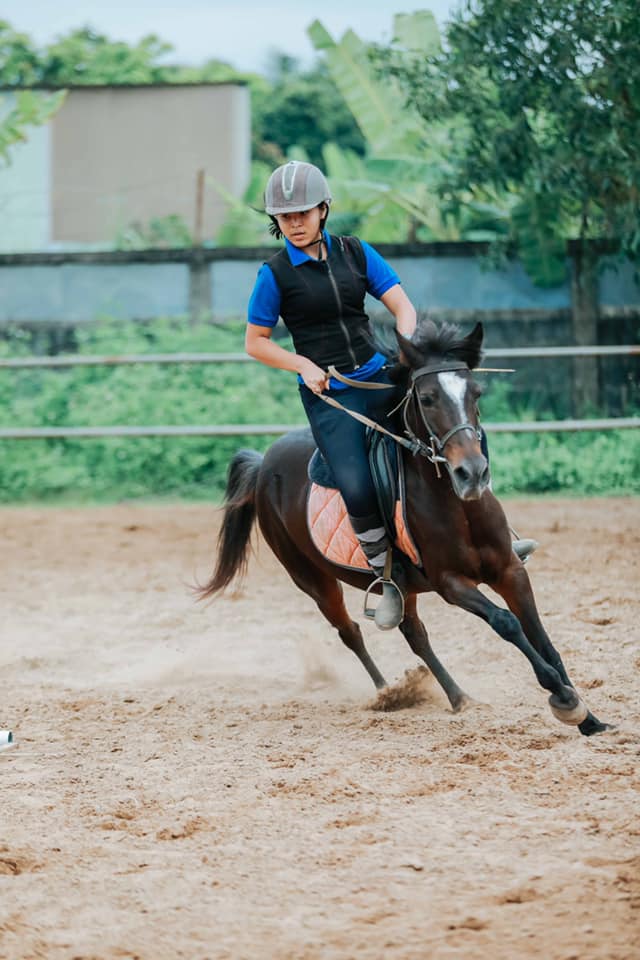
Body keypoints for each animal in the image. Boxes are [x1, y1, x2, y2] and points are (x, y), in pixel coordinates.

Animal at [197, 321, 610, 737]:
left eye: (476, 393)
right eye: (426, 399)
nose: (473, 473)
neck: (458, 506)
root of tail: (264, 463)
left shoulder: (510, 570)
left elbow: (541, 637)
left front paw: (589, 719)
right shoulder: (450, 582)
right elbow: (507, 624)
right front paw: (564, 700)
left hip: (401, 585)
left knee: (414, 633)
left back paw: (457, 697)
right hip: (312, 579)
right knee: (351, 631)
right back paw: (387, 692)